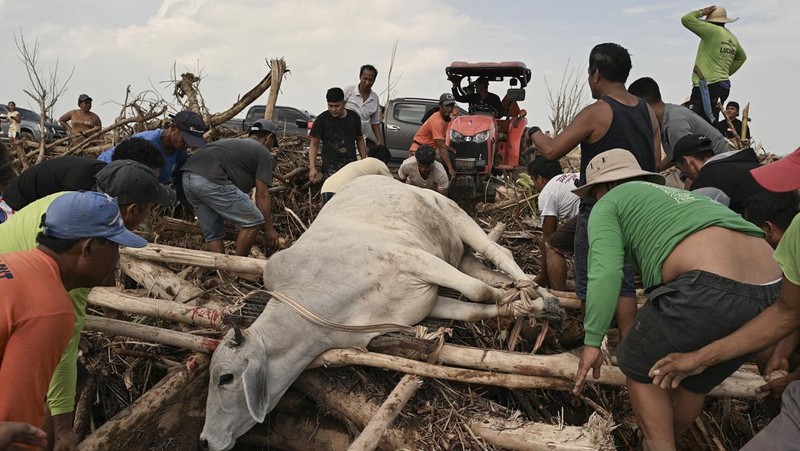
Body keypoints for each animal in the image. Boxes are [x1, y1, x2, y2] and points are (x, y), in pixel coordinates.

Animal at [200, 177, 564, 451]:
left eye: (225, 377)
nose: (205, 440)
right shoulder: (424, 302)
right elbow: (477, 306)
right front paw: (520, 306)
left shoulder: (413, 259)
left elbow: (478, 292)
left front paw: (529, 305)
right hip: (455, 252)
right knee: (488, 272)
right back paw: (537, 297)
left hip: (454, 214)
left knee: (498, 254)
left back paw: (540, 295)